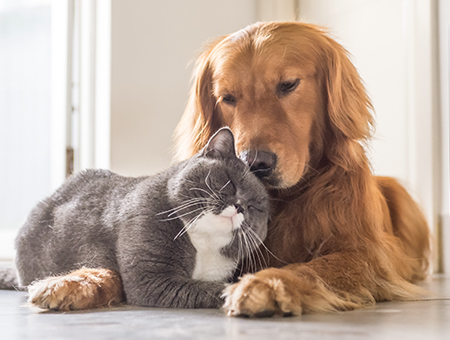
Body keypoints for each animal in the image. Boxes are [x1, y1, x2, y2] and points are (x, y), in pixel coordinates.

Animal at [13, 127, 268, 308]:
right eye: (230, 182)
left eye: (255, 207)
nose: (240, 207)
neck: (203, 243)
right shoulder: (152, 279)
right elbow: (208, 288)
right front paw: (244, 292)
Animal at [175, 21, 428, 316]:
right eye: (227, 97)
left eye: (288, 85)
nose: (255, 163)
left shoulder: (366, 254)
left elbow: (313, 268)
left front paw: (267, 283)